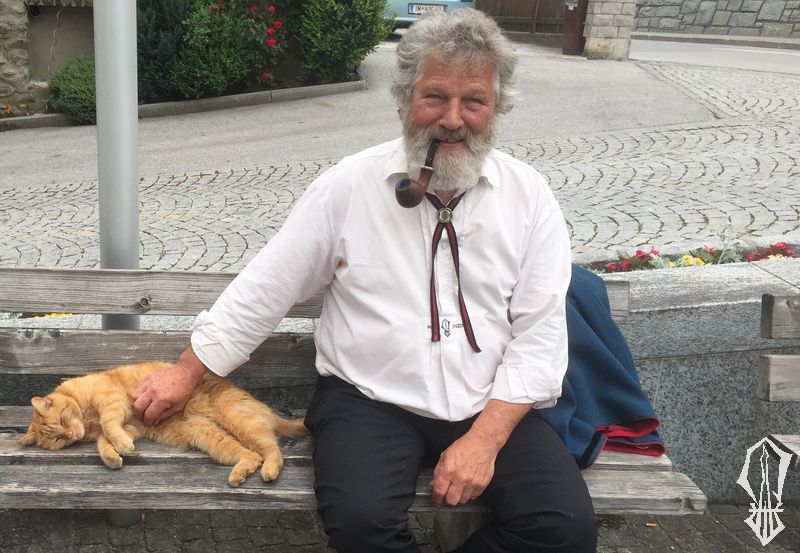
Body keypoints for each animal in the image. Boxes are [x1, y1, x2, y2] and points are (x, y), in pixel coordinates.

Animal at [18, 361, 307, 487]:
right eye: (57, 439)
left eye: (62, 421)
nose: (71, 434)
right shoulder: (130, 426)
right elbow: (104, 443)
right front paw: (114, 457)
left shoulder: (113, 404)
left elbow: (109, 427)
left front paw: (121, 447)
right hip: (209, 437)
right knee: (250, 456)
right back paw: (240, 474)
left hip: (240, 423)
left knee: (272, 452)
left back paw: (268, 471)